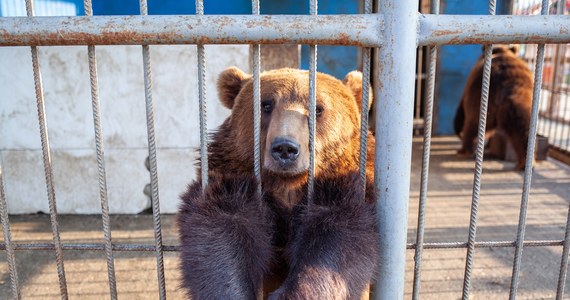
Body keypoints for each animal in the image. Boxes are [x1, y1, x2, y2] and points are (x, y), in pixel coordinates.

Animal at [178, 67, 378, 298]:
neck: (288, 187)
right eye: (266, 104)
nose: (285, 148)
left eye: (318, 108)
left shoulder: (343, 189)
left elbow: (337, 243)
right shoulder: (232, 181)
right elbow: (221, 237)